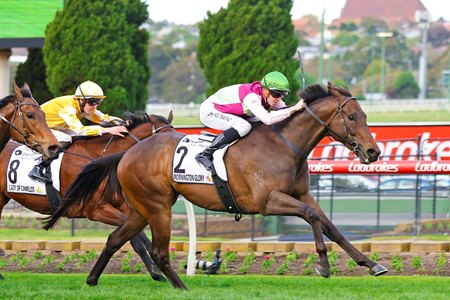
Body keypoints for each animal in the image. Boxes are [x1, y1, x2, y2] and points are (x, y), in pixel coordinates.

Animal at [0, 110, 172, 282]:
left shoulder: (123, 207)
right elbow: (134, 236)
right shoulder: (95, 210)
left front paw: (157, 271)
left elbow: (137, 238)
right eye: (164, 137)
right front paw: (157, 269)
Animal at [47, 82, 388, 288]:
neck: (283, 145)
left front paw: (371, 264)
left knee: (115, 239)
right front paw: (323, 264)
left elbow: (330, 225)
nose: (374, 152)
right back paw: (180, 286)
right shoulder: (268, 202)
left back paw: (93, 279)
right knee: (155, 249)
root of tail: (127, 152)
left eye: (364, 115)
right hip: (157, 207)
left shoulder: (300, 193)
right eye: (353, 117)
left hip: (142, 209)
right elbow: (312, 215)